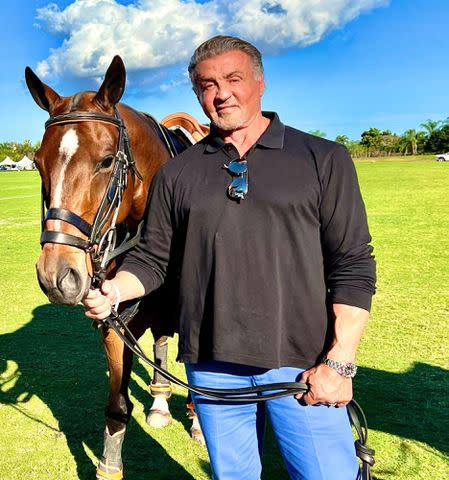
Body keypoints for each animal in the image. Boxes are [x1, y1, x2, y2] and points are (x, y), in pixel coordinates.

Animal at [25, 54, 203, 478]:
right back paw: (159, 402)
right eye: (38, 163)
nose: (57, 275)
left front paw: (198, 423)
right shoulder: (115, 320)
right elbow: (118, 404)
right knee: (159, 340)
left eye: (107, 161)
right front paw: (109, 464)